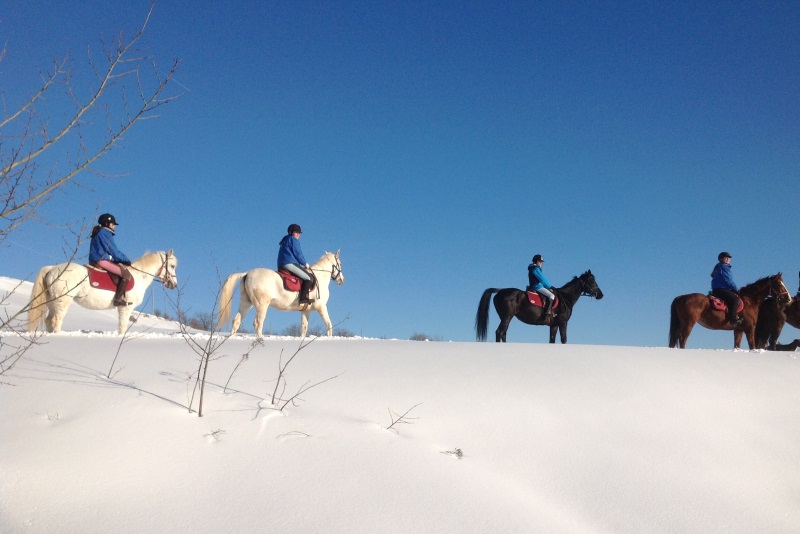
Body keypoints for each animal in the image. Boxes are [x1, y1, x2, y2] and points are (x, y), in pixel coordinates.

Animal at [28, 251, 180, 336]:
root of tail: (51, 269)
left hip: (53, 301)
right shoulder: (126, 307)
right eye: (172, 266)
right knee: (56, 320)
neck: (138, 276)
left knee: (49, 320)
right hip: (63, 301)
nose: (174, 284)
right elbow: (122, 326)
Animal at [216, 251, 344, 340]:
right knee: (258, 323)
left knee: (236, 320)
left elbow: (304, 328)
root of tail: (247, 273)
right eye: (340, 264)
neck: (320, 277)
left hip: (246, 303)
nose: (342, 280)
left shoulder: (306, 311)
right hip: (262, 305)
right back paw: (260, 339)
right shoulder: (321, 307)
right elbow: (329, 324)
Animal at [472, 272, 604, 344]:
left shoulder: (554, 325)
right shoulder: (563, 322)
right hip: (507, 317)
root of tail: (500, 291)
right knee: (499, 332)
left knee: (503, 333)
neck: (566, 297)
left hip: (506, 318)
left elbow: (552, 340)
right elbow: (564, 339)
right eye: (591, 280)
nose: (600, 295)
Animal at [664, 276, 792, 352]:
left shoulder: (738, 330)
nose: (789, 299)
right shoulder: (749, 328)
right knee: (682, 338)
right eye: (779, 284)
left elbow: (737, 345)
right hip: (689, 323)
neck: (749, 301)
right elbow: (752, 345)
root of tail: (681, 297)